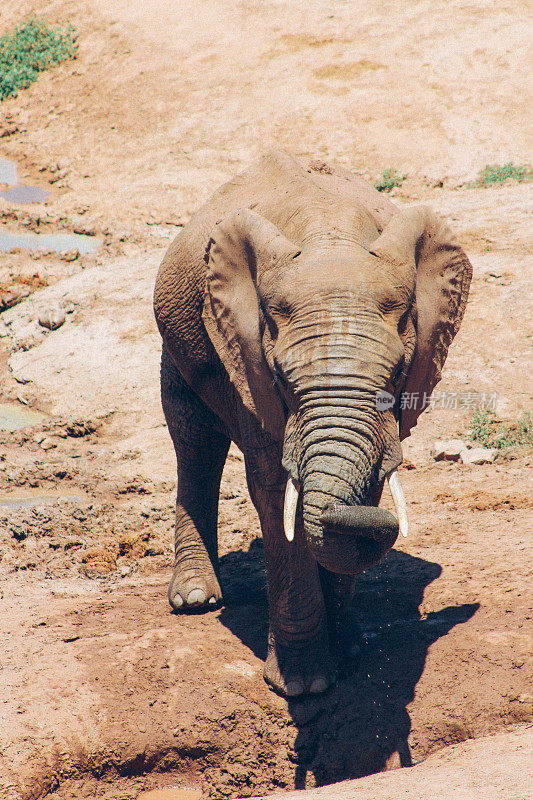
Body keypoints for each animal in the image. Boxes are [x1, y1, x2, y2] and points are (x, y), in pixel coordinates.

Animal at [153, 153, 470, 696]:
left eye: (398, 374)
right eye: (281, 376)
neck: (331, 239)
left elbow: (360, 489)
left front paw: (351, 653)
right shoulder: (245, 357)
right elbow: (273, 488)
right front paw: (302, 686)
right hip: (179, 342)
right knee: (194, 442)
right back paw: (196, 599)